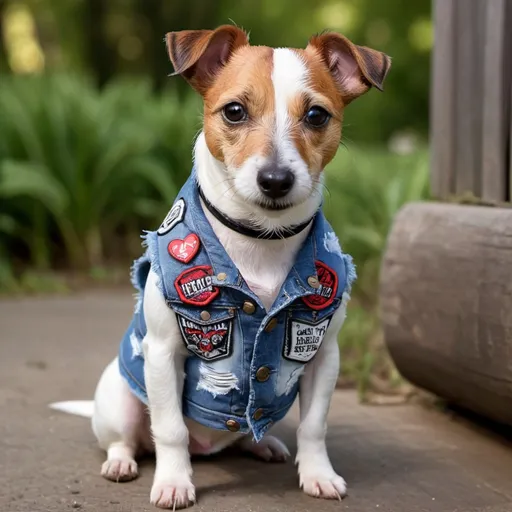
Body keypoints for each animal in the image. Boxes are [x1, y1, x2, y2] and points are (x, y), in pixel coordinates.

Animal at [51, 26, 388, 510]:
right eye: (234, 111)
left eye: (317, 116)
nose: (275, 179)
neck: (260, 239)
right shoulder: (163, 353)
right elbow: (170, 428)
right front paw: (174, 482)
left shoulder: (323, 355)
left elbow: (314, 424)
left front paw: (318, 474)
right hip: (120, 400)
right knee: (128, 437)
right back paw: (122, 461)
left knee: (248, 430)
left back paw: (264, 444)